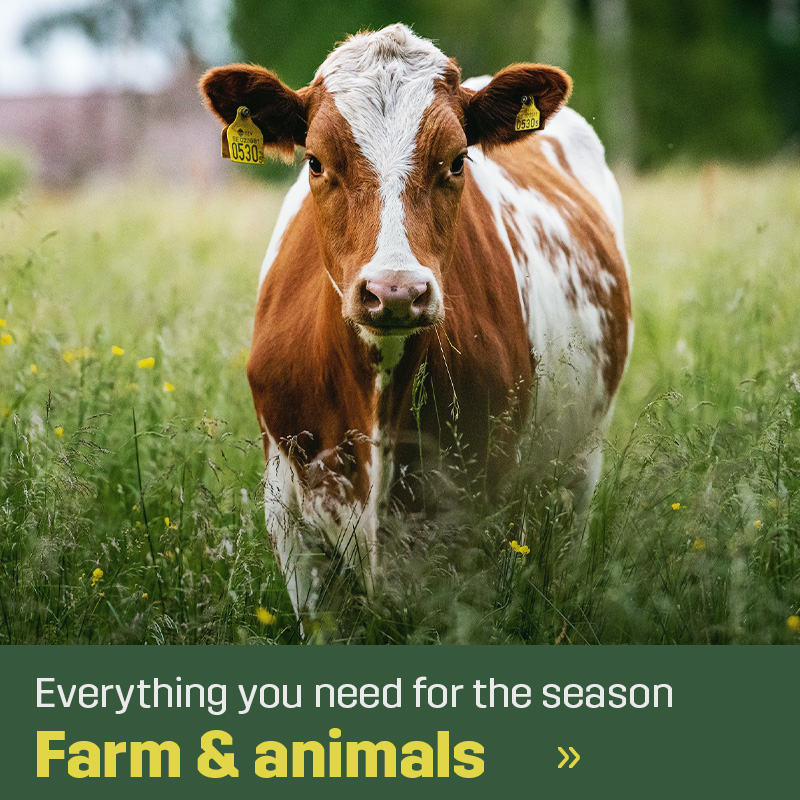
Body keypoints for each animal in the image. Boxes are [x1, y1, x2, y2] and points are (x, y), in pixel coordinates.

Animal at [200, 23, 632, 627]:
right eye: (316, 162)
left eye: (456, 161)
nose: (395, 291)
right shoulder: (290, 521)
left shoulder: (474, 518)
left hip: (578, 465)